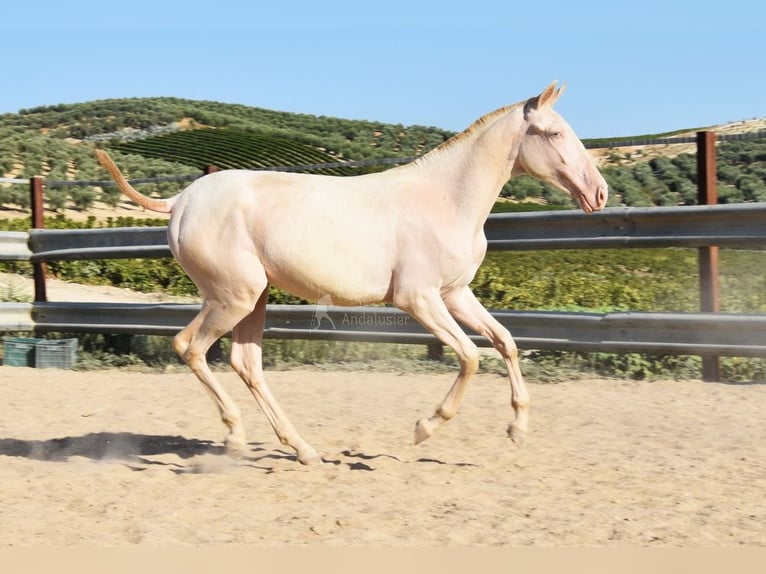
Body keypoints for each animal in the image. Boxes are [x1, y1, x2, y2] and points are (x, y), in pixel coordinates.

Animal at [97, 82, 612, 468]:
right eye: (554, 133)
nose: (600, 193)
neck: (445, 200)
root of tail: (180, 201)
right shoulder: (417, 298)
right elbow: (469, 357)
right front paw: (424, 429)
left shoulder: (456, 293)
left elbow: (505, 341)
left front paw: (517, 430)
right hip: (233, 297)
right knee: (190, 347)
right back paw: (236, 437)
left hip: (254, 297)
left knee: (246, 363)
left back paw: (303, 450)